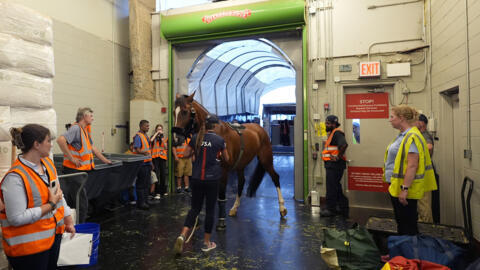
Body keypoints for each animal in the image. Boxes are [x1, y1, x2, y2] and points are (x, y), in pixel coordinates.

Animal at [172, 93, 284, 230]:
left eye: (185, 111)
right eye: (174, 112)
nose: (176, 139)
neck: (212, 132)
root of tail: (260, 129)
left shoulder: (223, 172)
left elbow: (221, 197)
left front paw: (221, 222)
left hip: (266, 159)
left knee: (275, 177)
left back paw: (282, 208)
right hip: (241, 164)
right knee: (241, 182)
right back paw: (234, 208)